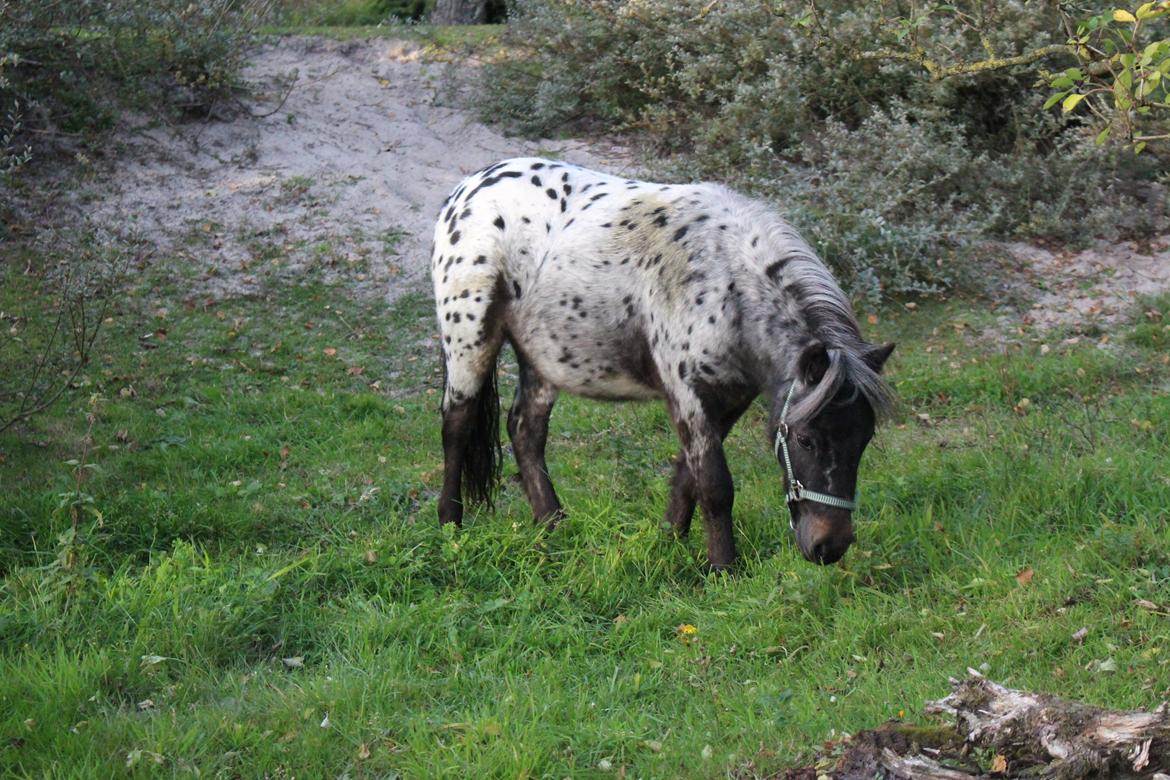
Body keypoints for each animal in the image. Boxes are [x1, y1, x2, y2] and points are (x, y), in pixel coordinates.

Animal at [430, 156, 893, 568]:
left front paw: (670, 538)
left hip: (541, 358)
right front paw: (723, 568)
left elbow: (689, 475)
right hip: (469, 341)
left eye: (864, 439)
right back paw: (450, 526)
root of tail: (465, 191)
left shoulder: (728, 401)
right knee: (457, 425)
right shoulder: (689, 395)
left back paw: (553, 525)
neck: (726, 286)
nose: (829, 547)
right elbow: (715, 484)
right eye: (806, 440)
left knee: (526, 430)